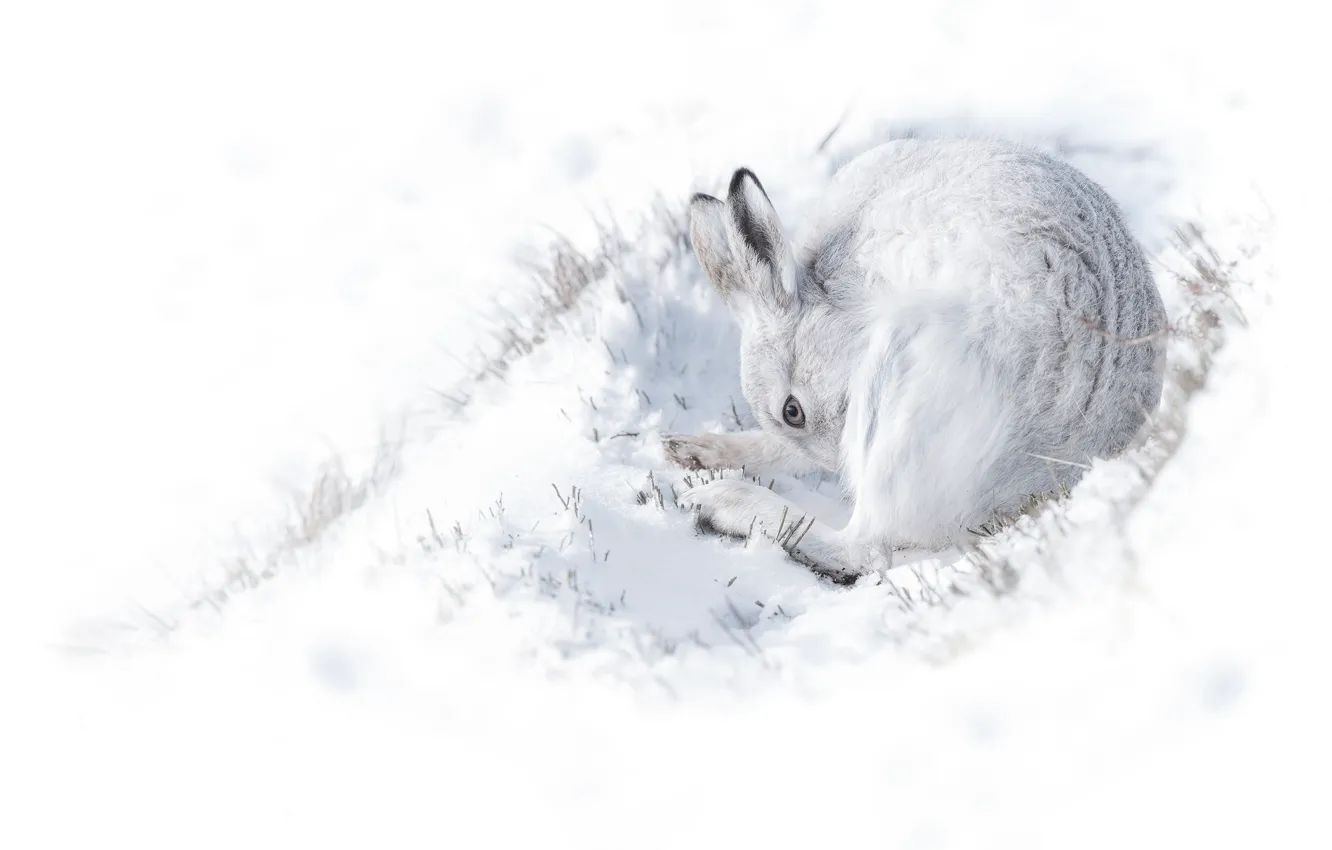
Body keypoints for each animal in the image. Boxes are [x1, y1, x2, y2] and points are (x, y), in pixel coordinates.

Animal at [665, 138, 1167, 583]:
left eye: (793, 411)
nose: (837, 469)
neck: (834, 296)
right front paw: (690, 449)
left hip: (903, 369)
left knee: (864, 549)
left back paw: (721, 502)